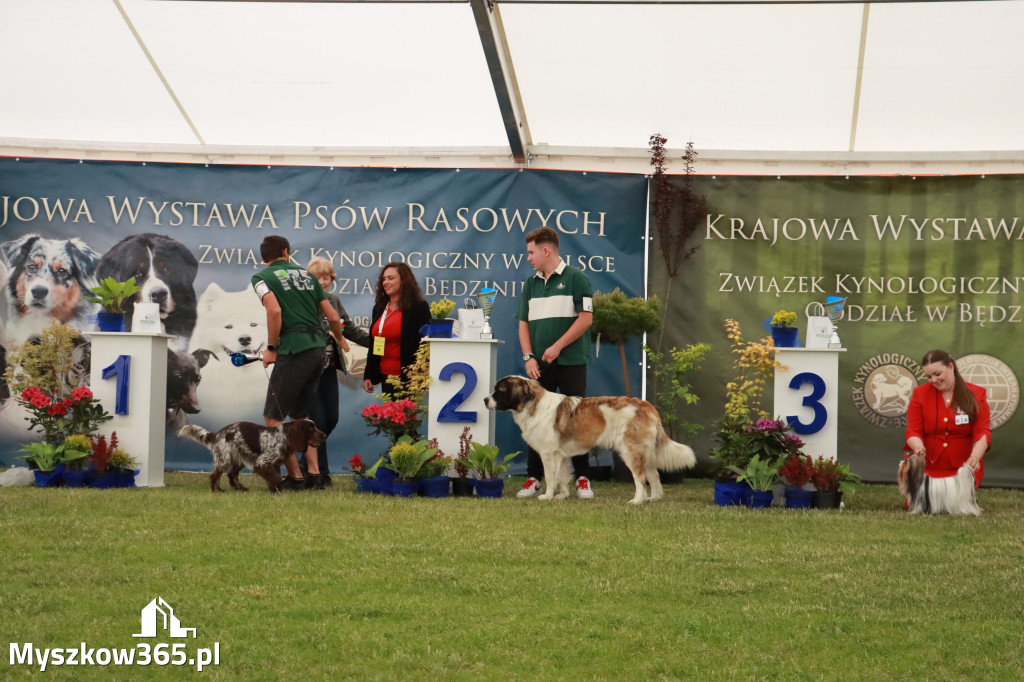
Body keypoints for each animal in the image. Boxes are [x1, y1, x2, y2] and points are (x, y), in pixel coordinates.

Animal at [178, 417, 325, 491]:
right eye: (311, 429)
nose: (324, 435)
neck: (284, 436)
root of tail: (217, 434)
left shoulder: (274, 464)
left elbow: (275, 477)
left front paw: (276, 489)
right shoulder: (262, 463)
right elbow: (276, 478)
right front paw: (276, 490)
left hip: (238, 460)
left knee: (232, 475)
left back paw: (240, 488)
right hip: (225, 459)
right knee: (215, 475)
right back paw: (217, 490)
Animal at [481, 374, 696, 501]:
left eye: (500, 391)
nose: (484, 400)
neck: (533, 405)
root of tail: (645, 404)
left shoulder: (549, 455)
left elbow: (550, 477)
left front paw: (547, 496)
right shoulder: (561, 455)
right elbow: (562, 477)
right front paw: (562, 496)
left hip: (631, 451)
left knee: (641, 477)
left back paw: (637, 500)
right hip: (645, 452)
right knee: (654, 475)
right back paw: (653, 498)